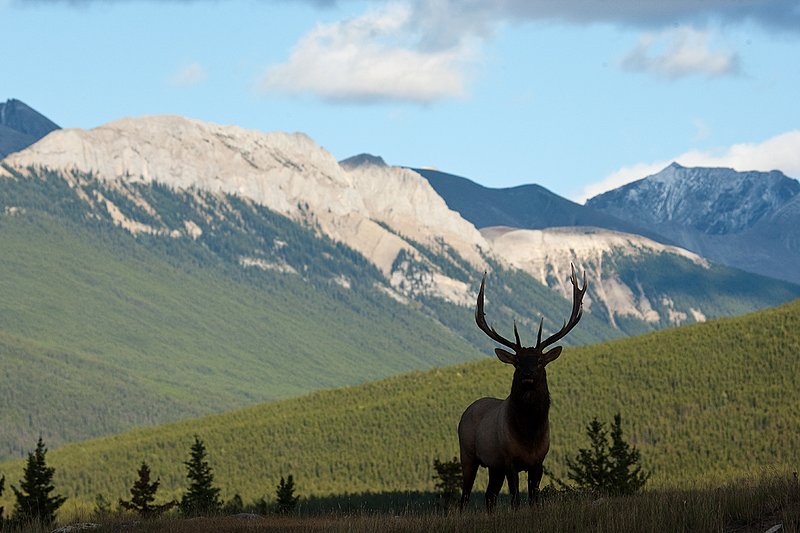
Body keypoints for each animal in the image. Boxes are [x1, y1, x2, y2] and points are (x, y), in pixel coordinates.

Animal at [458, 264, 587, 511]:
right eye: (517, 362)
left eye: (540, 361)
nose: (527, 374)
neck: (529, 434)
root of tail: (468, 409)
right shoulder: (509, 460)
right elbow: (516, 499)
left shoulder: (538, 462)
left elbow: (534, 498)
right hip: (467, 454)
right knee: (465, 495)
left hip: (494, 466)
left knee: (489, 495)